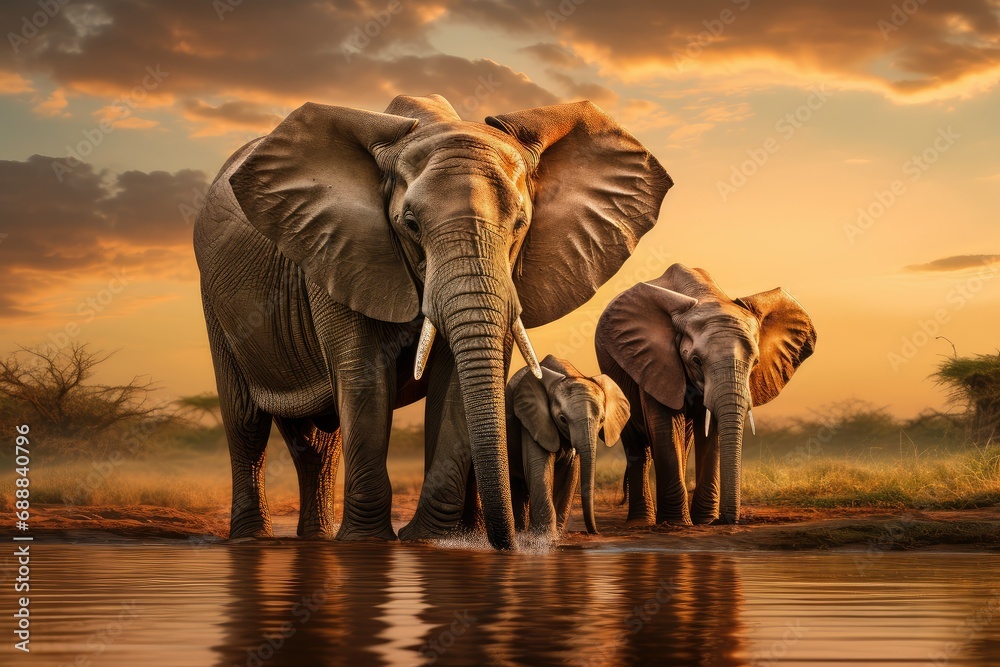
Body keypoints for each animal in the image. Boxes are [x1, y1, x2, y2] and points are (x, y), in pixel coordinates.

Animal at [505, 355, 630, 535]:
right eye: (563, 419)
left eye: (602, 420)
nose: (594, 532)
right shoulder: (532, 418)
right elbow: (539, 467)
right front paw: (544, 537)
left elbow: (570, 473)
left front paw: (557, 534)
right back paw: (521, 533)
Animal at [594, 263, 816, 526]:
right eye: (696, 361)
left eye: (755, 362)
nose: (727, 520)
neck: (706, 297)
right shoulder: (652, 360)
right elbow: (665, 425)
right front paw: (677, 523)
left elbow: (712, 429)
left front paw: (705, 521)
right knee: (638, 445)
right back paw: (642, 521)